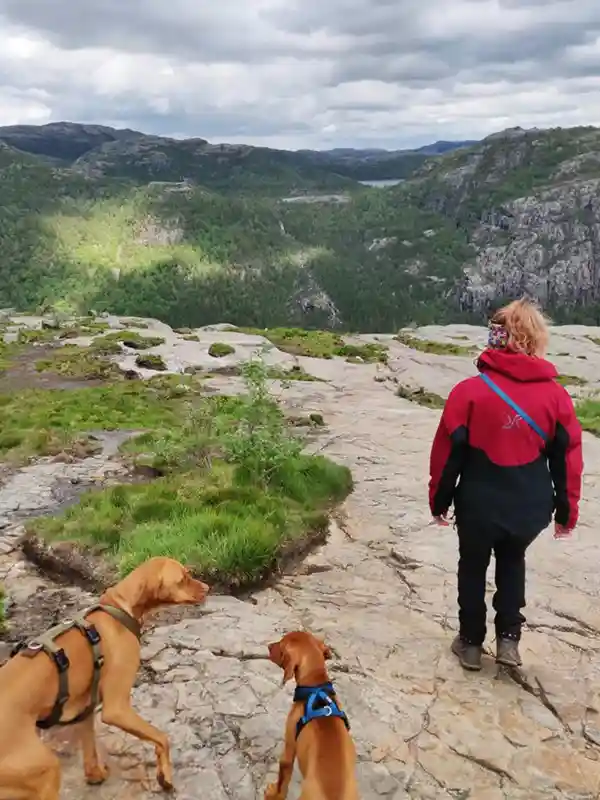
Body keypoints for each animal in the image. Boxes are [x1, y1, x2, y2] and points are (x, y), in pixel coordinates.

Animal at [0, 556, 209, 800]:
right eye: (183, 578)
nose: (208, 588)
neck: (119, 607)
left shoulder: (84, 710)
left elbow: (90, 751)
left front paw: (96, 775)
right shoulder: (116, 709)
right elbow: (162, 738)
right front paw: (164, 776)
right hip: (45, 772)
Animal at [264, 632, 358, 800]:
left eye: (281, 644)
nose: (268, 646)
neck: (316, 685)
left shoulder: (289, 746)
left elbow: (283, 778)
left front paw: (274, 794)